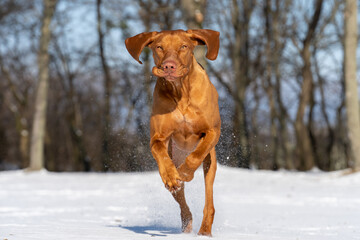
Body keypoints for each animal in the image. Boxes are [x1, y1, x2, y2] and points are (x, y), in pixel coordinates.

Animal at [125, 28, 221, 236]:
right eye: (159, 47)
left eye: (183, 46)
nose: (169, 66)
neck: (181, 91)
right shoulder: (158, 138)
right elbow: (161, 155)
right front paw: (171, 175)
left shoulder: (212, 132)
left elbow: (195, 156)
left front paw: (185, 172)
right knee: (182, 203)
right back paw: (187, 224)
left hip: (210, 164)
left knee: (209, 202)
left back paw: (204, 231)